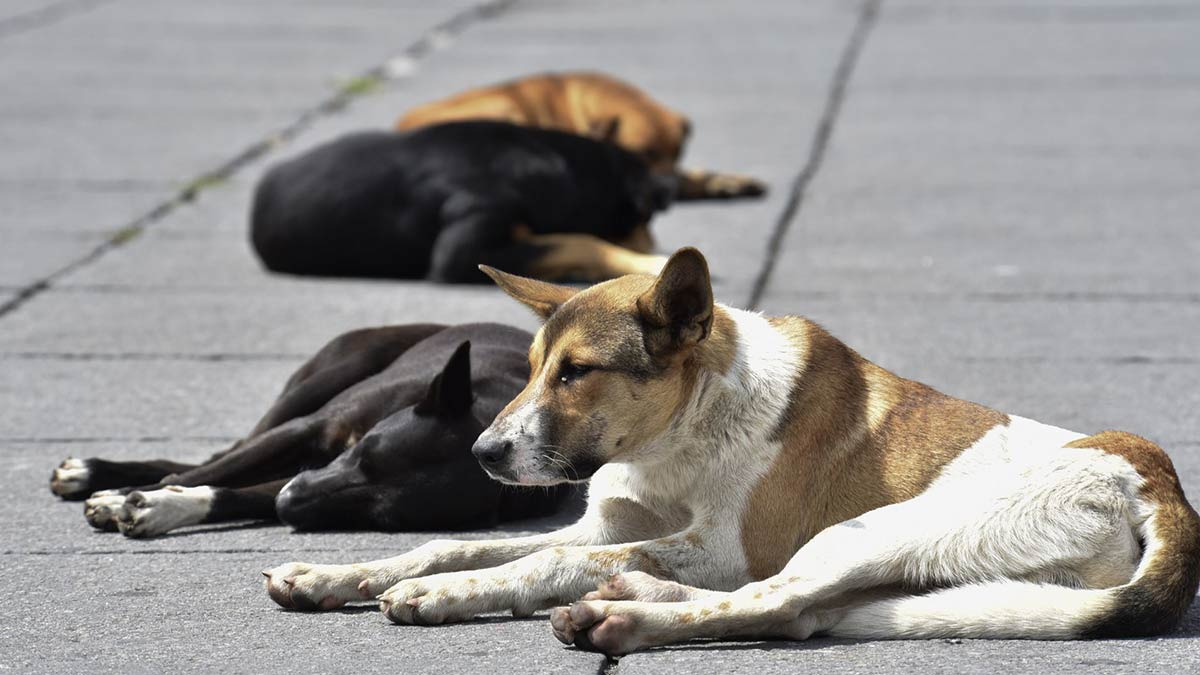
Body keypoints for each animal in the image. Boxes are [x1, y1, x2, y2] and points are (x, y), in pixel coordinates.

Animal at [49, 324, 564, 538]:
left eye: (381, 517)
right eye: (363, 454)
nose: (289, 503)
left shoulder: (305, 479)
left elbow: (233, 493)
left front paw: (164, 506)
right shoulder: (306, 434)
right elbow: (210, 473)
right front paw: (126, 496)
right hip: (322, 381)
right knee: (220, 455)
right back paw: (95, 473)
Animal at [262, 247, 1200, 653]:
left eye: (577, 372)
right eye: (528, 369)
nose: (486, 452)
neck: (684, 427)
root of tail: (1160, 483)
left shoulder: (723, 546)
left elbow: (533, 564)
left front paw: (446, 595)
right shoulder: (604, 524)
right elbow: (456, 540)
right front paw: (338, 573)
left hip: (875, 531)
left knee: (775, 600)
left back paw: (623, 617)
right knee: (799, 612)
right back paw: (631, 596)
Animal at [396, 73, 768, 200]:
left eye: (677, 153)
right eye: (641, 153)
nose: (667, 190)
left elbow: (694, 175)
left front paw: (727, 181)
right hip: (502, 108)